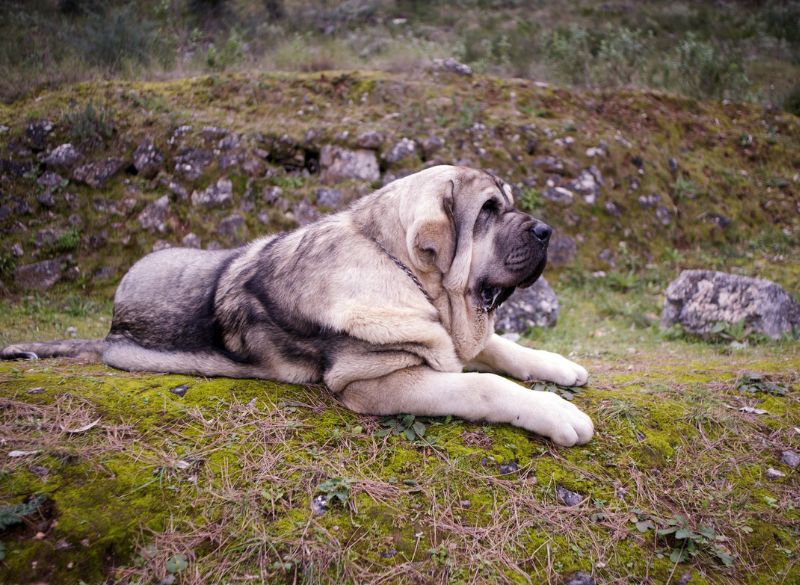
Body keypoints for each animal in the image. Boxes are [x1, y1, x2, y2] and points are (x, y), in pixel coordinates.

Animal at [3, 167, 592, 444]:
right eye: (489, 210)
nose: (546, 231)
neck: (394, 263)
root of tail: (109, 324)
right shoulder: (378, 381)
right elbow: (482, 383)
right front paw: (556, 412)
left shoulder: (450, 331)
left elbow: (498, 347)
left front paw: (559, 366)